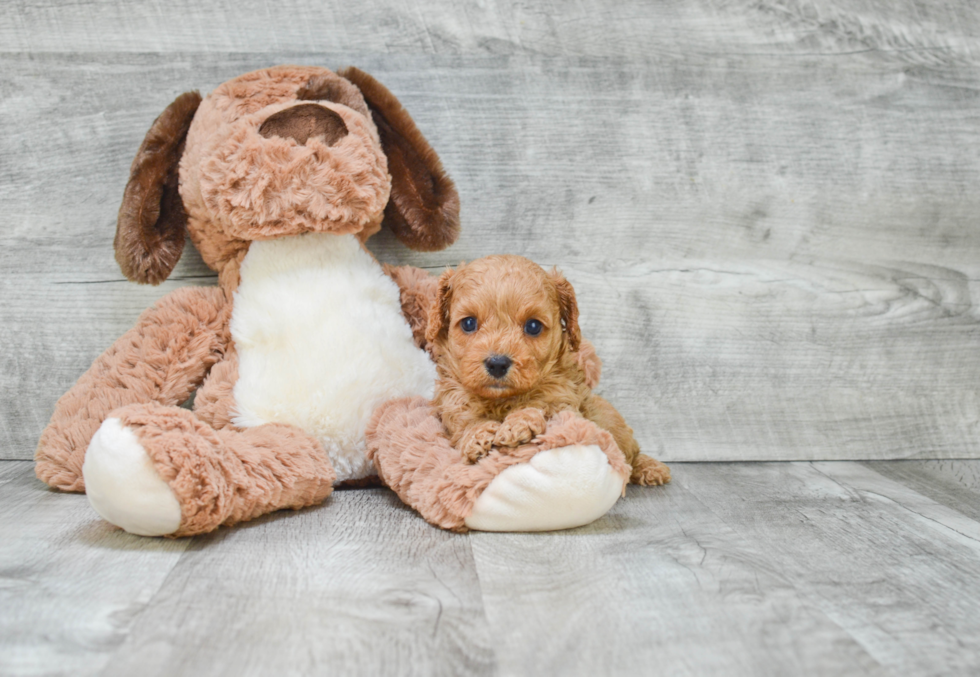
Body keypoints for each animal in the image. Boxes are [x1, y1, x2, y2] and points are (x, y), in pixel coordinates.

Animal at [424, 255, 668, 486]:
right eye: (468, 323)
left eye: (533, 326)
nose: (497, 364)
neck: (502, 399)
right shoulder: (453, 400)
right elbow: (464, 421)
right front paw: (477, 435)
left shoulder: (564, 401)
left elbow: (541, 404)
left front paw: (518, 423)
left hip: (612, 422)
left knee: (630, 454)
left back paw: (651, 468)